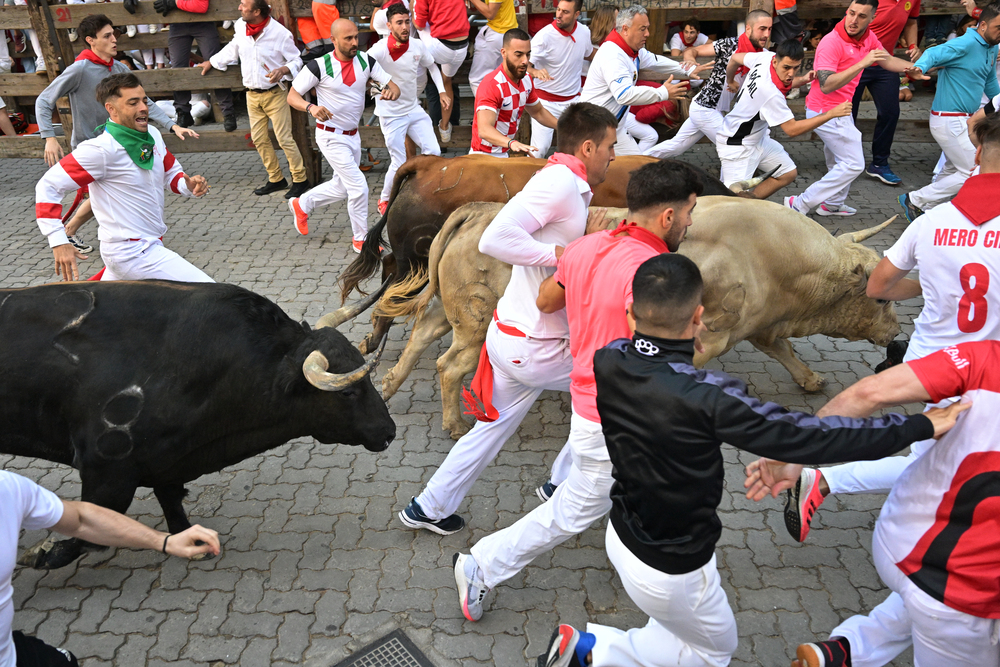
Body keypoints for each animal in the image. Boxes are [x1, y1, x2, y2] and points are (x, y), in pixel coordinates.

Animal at [0, 282, 398, 568]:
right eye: (347, 392)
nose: (389, 431)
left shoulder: (164, 460)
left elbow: (171, 500)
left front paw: (188, 540)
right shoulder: (106, 470)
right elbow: (92, 527)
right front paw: (44, 553)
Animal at [378, 198, 904, 438]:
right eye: (880, 299)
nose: (898, 334)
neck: (770, 253)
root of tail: (477, 210)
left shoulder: (757, 325)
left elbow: (783, 348)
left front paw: (810, 379)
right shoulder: (711, 334)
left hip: (451, 313)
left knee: (420, 337)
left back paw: (386, 386)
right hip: (474, 322)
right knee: (449, 365)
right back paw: (452, 423)